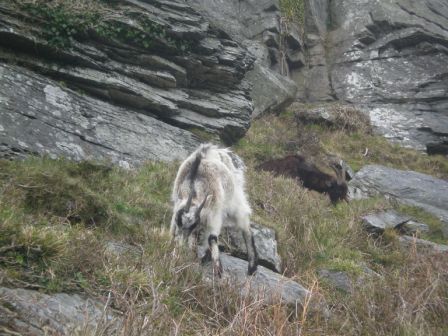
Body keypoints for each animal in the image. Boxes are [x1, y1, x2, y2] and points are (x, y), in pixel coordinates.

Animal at [170, 143, 258, 276]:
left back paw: (252, 267)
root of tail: (221, 151)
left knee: (246, 228)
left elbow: (212, 237)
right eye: (178, 221)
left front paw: (218, 270)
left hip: (235, 201)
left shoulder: (215, 213)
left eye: (192, 225)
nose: (181, 244)